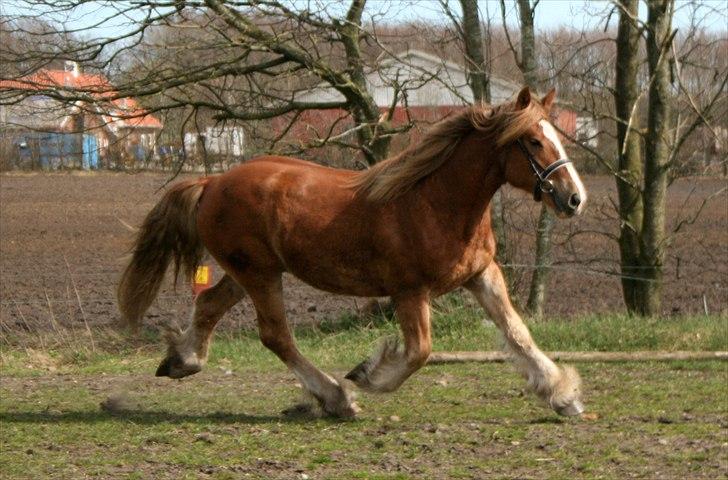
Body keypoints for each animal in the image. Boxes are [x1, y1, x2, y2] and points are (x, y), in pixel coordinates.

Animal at [118, 88, 584, 418]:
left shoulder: (482, 274)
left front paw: (561, 394)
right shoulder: (409, 291)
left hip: (245, 272)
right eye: (533, 141)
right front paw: (369, 375)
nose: (574, 198)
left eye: (556, 137)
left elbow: (517, 332)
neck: (435, 202)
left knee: (210, 306)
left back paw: (183, 360)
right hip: (260, 274)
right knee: (276, 335)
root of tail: (211, 182)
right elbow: (419, 351)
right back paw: (336, 398)